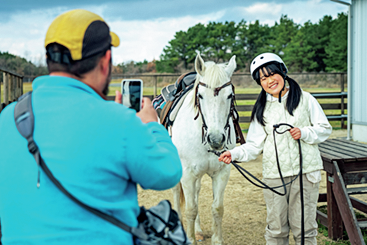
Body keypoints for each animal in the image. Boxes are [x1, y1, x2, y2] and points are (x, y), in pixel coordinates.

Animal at [172, 53, 237, 245]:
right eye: (200, 95)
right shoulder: (187, 174)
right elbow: (190, 209)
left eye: (230, 96)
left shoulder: (223, 172)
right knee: (177, 195)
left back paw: (199, 230)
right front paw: (190, 239)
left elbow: (217, 208)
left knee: (196, 193)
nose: (215, 139)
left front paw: (216, 240)